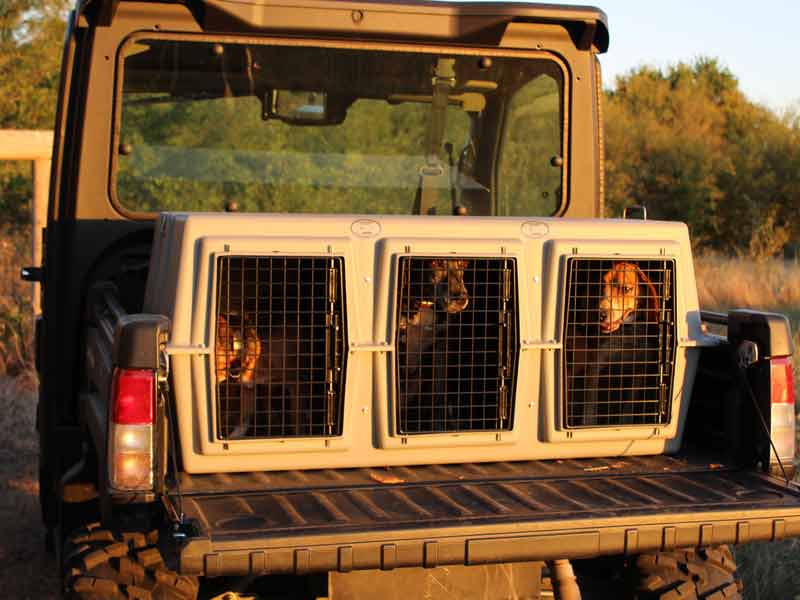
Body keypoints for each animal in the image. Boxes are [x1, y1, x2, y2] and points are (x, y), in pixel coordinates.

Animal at [568, 262, 664, 426]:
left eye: (625, 289)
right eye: (599, 285)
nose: (600, 315)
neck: (625, 332)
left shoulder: (640, 367)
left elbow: (629, 403)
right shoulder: (595, 366)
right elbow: (590, 407)